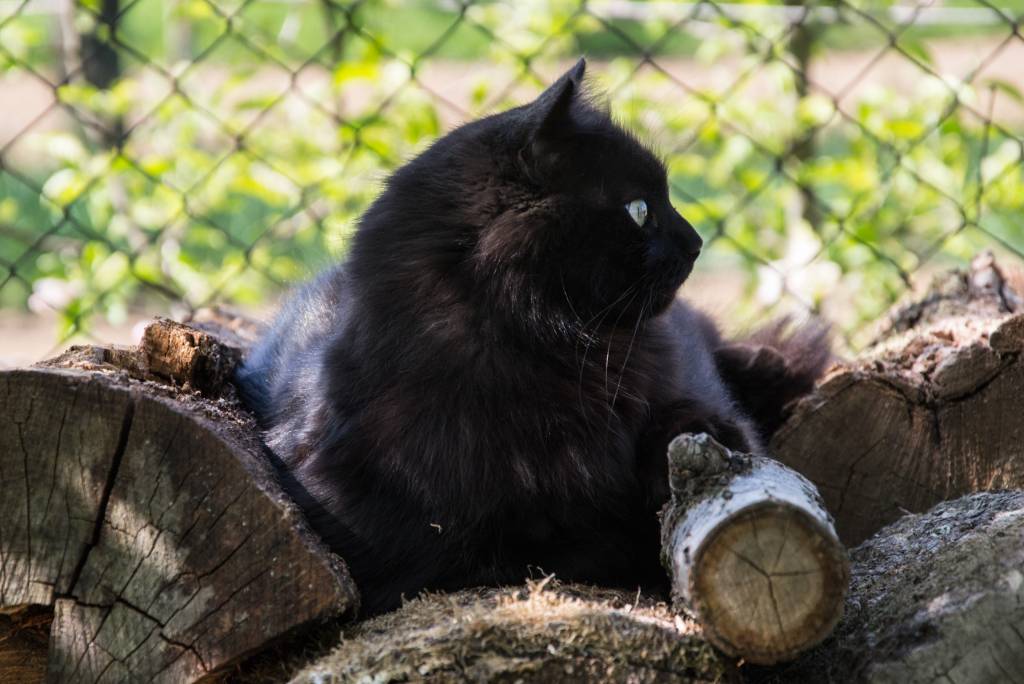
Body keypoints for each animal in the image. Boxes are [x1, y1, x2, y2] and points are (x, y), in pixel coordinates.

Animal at [234, 59, 830, 616]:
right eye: (639, 209)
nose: (697, 241)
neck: (547, 357)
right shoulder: (385, 529)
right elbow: (548, 540)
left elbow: (700, 424)